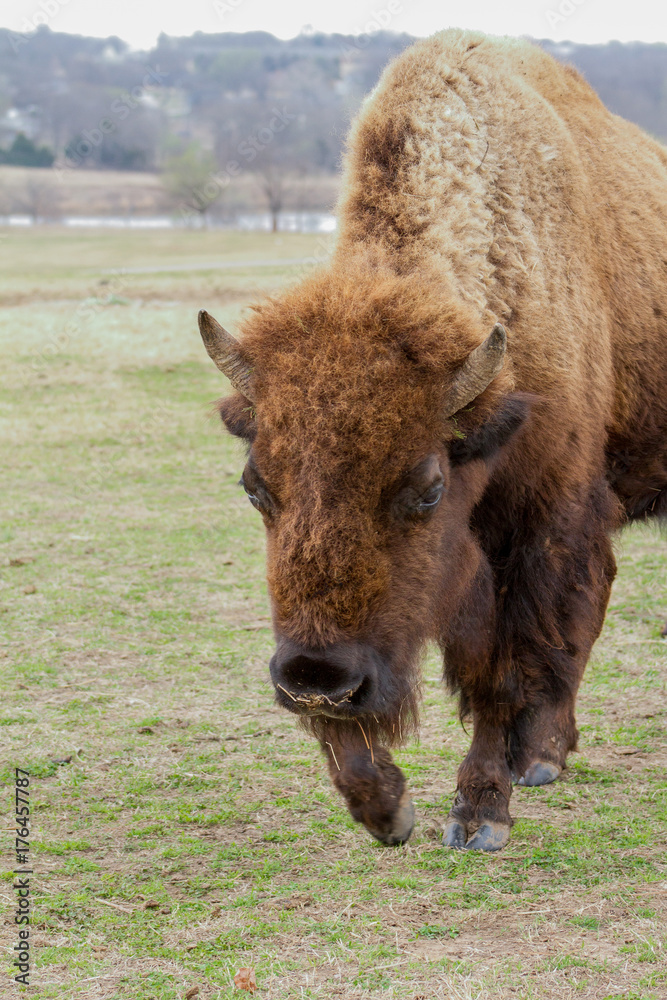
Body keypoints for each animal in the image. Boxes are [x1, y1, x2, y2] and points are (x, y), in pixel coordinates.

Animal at [198, 30, 667, 850]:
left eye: (427, 489)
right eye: (255, 487)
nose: (315, 679)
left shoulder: (535, 524)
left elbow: (502, 668)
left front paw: (479, 813)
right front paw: (384, 807)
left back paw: (536, 756)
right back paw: (543, 755)